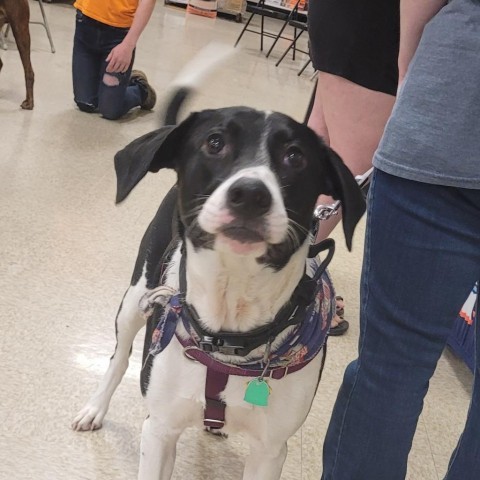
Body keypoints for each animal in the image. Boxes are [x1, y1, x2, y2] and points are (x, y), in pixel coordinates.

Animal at [71, 64, 364, 480]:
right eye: (214, 143)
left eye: (295, 156)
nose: (252, 194)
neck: (228, 334)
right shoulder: (159, 431)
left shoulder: (269, 451)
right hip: (136, 299)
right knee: (118, 358)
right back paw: (96, 407)